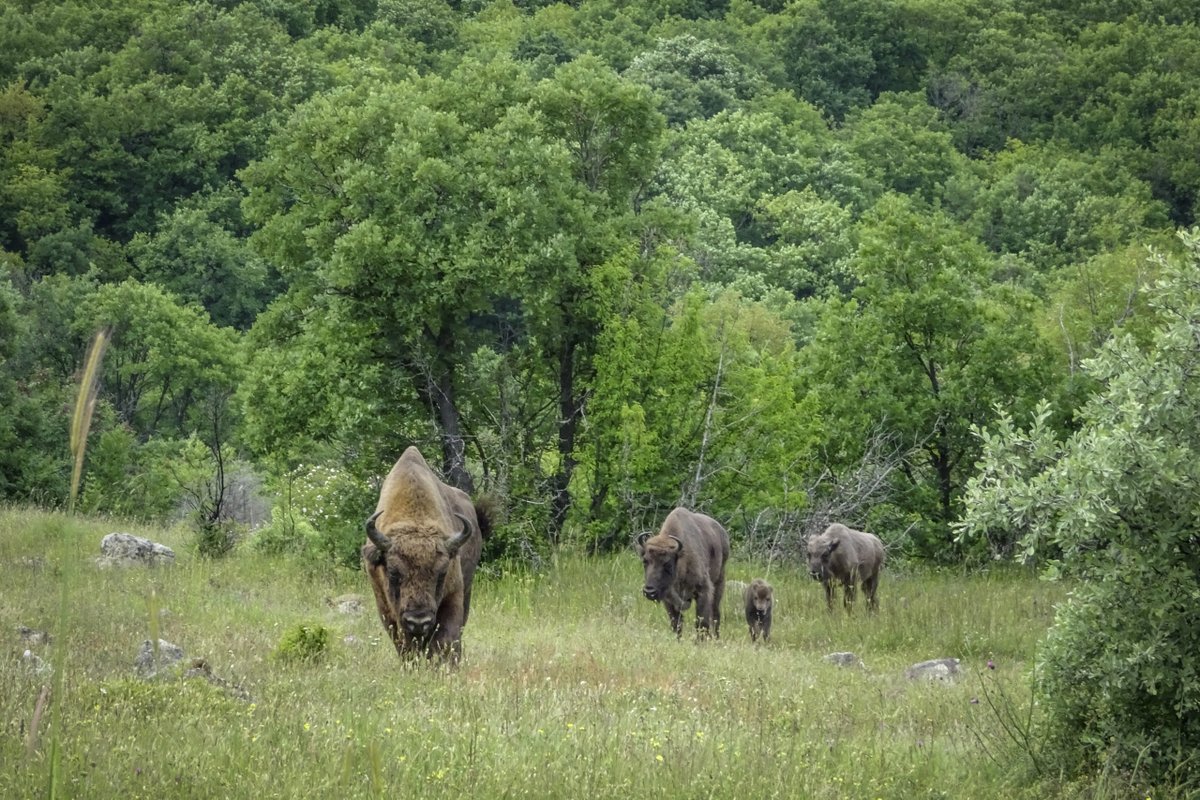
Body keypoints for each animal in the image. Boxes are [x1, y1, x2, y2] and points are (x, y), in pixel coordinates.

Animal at [362, 446, 491, 662]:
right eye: (393, 572)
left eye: (442, 573)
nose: (418, 621)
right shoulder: (387, 609)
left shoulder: (453, 596)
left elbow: (446, 640)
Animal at [634, 508, 730, 639]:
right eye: (645, 561)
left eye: (668, 563)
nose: (649, 592)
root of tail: (722, 532)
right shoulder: (668, 600)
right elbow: (676, 623)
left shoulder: (703, 590)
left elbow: (701, 622)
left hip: (719, 582)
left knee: (715, 614)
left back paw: (716, 638)